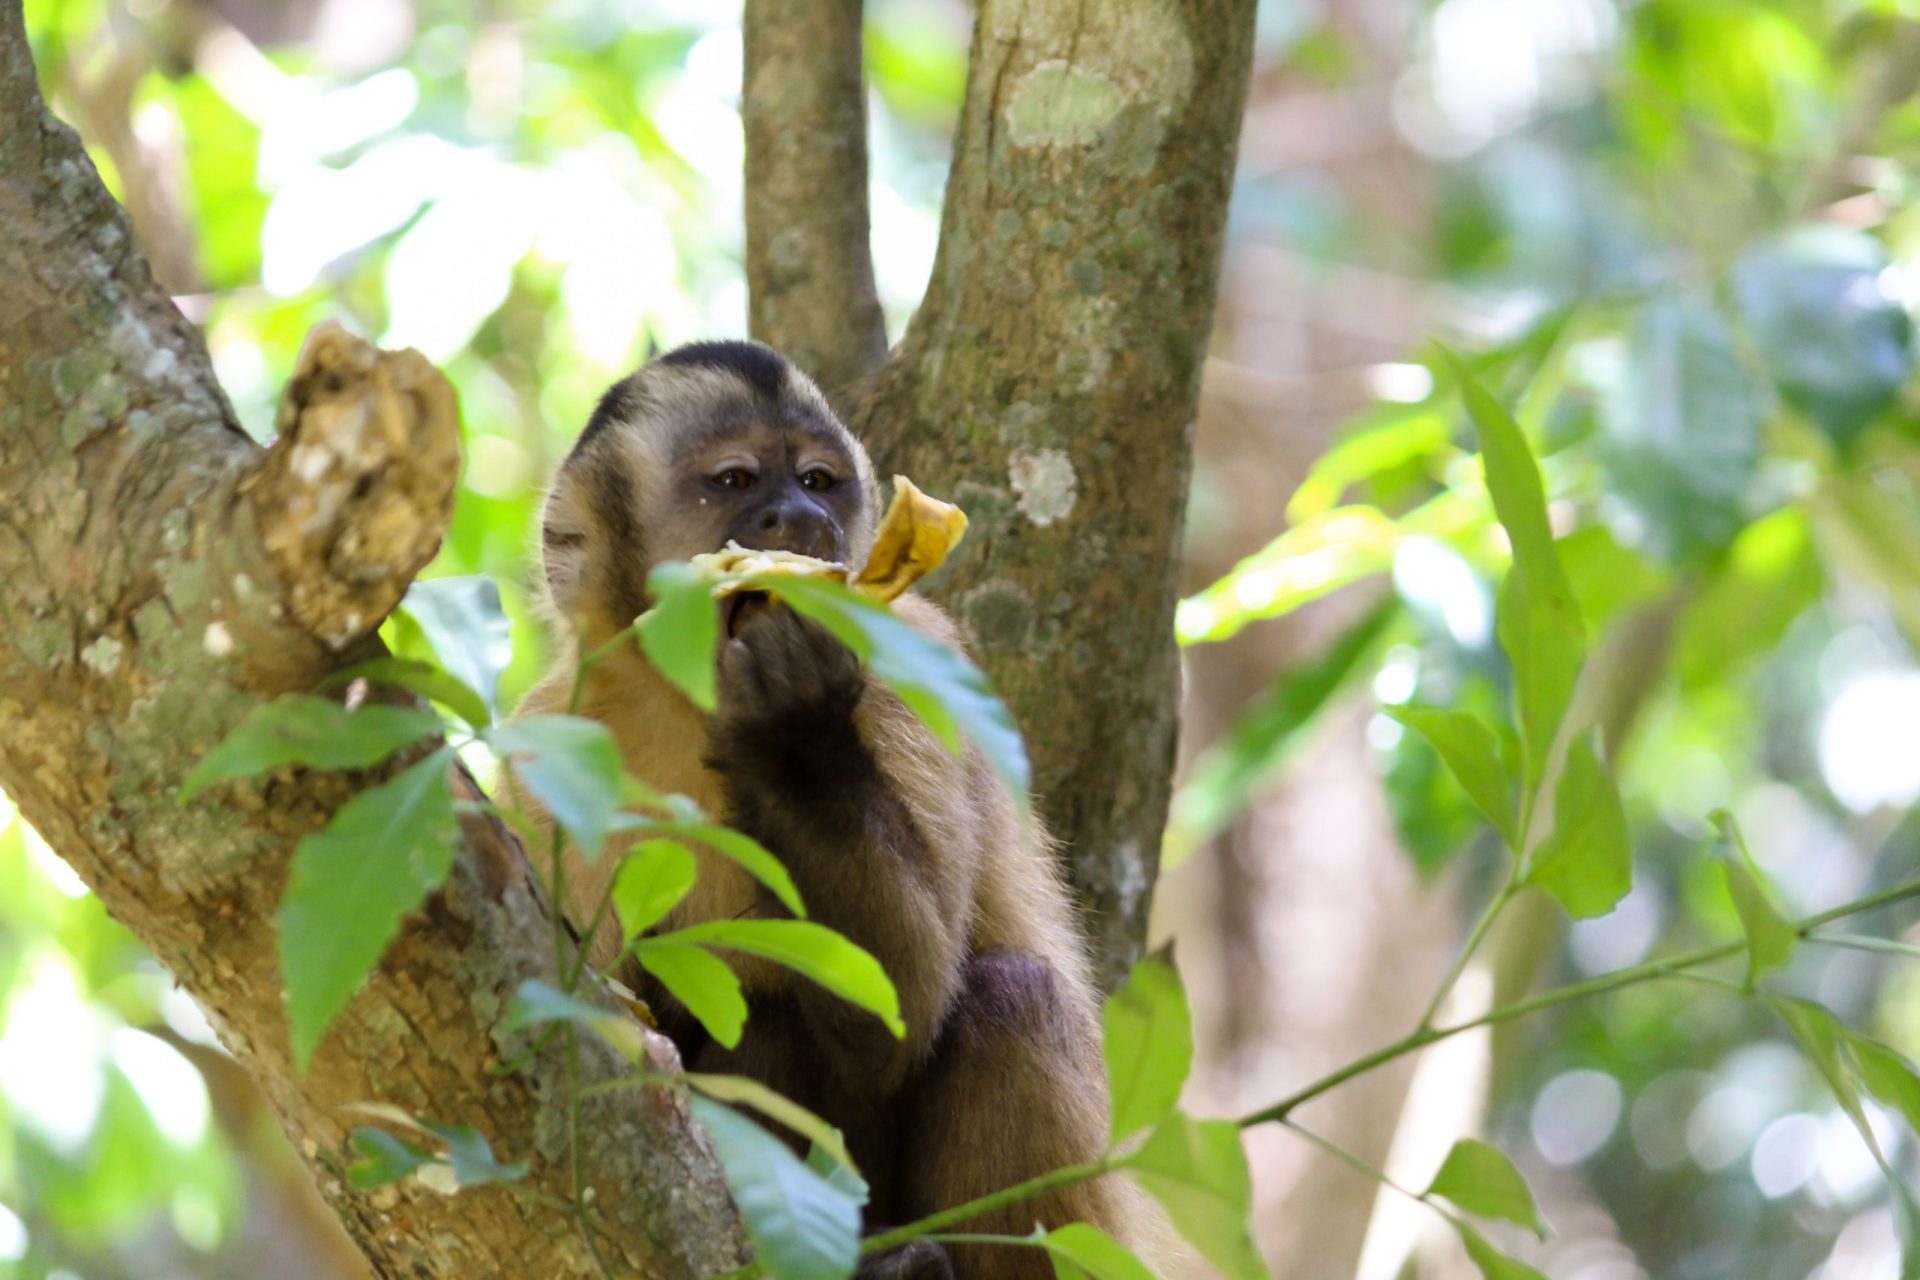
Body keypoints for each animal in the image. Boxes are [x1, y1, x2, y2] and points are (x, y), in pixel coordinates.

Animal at [510, 339, 1159, 1280]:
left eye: (818, 481)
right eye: (737, 481)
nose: (802, 518)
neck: (688, 695)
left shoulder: (903, 662)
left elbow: (901, 1007)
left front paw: (792, 731)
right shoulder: (544, 746)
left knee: (1008, 998)